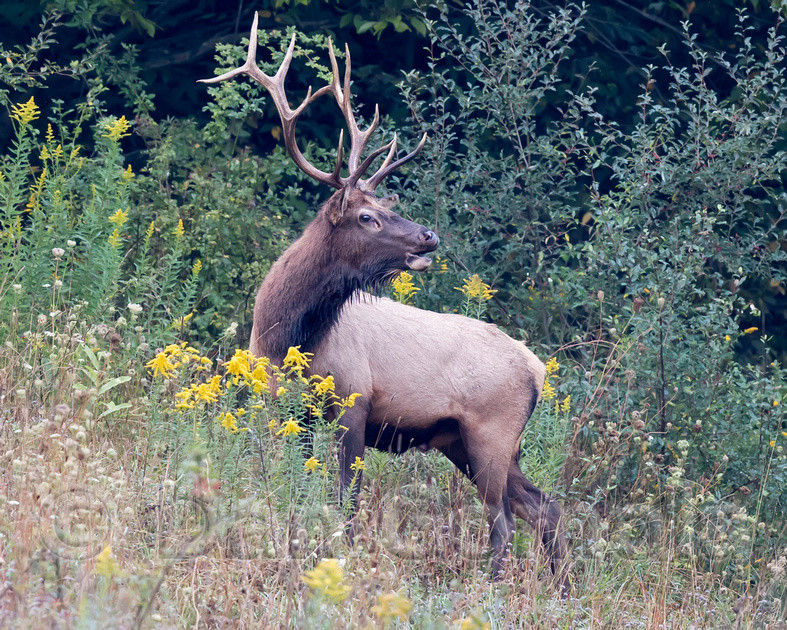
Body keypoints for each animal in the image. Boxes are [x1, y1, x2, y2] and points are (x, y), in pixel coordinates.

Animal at [200, 13, 568, 596]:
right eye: (367, 216)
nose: (429, 235)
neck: (285, 334)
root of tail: (539, 371)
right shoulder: (288, 408)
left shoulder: (354, 401)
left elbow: (346, 502)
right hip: (465, 443)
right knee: (543, 506)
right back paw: (561, 590)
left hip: (491, 432)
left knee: (505, 519)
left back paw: (494, 590)